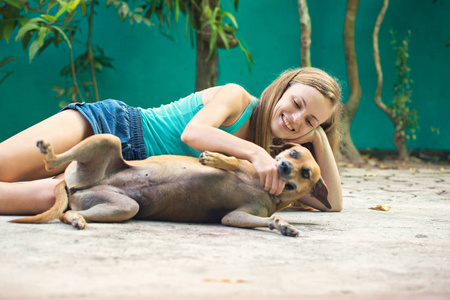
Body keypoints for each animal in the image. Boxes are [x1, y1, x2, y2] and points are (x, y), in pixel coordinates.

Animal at [11, 134, 330, 237]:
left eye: (306, 173)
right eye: (293, 153)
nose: (284, 167)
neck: (265, 187)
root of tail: (70, 186)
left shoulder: (235, 216)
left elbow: (267, 220)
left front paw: (282, 225)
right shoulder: (246, 163)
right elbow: (231, 161)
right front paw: (215, 158)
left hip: (123, 207)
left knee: (68, 213)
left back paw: (76, 218)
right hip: (107, 140)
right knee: (53, 166)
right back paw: (49, 153)